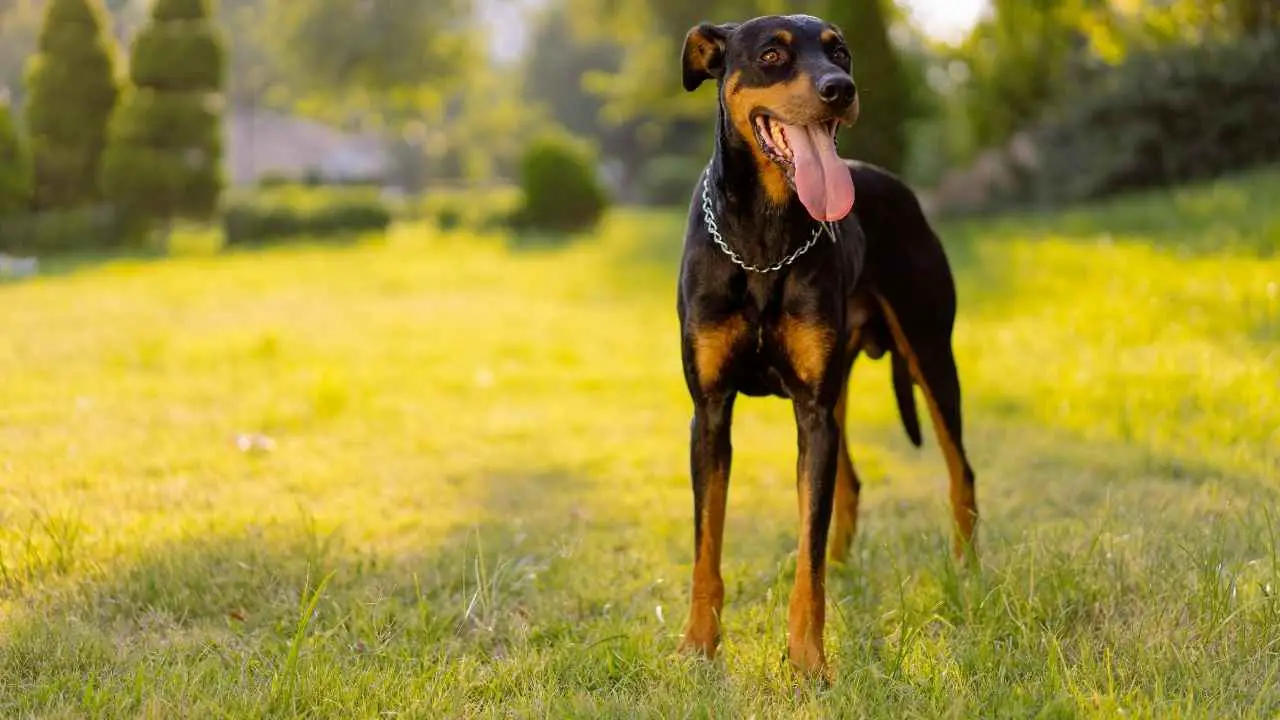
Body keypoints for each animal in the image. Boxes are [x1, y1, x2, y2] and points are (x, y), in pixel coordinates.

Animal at [675, 15, 972, 676]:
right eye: (771, 55)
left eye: (842, 53)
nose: (840, 89)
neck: (762, 236)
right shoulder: (710, 412)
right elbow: (706, 545)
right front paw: (697, 646)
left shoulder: (811, 413)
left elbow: (805, 552)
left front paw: (809, 661)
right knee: (850, 485)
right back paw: (847, 568)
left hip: (930, 355)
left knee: (960, 472)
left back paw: (969, 572)